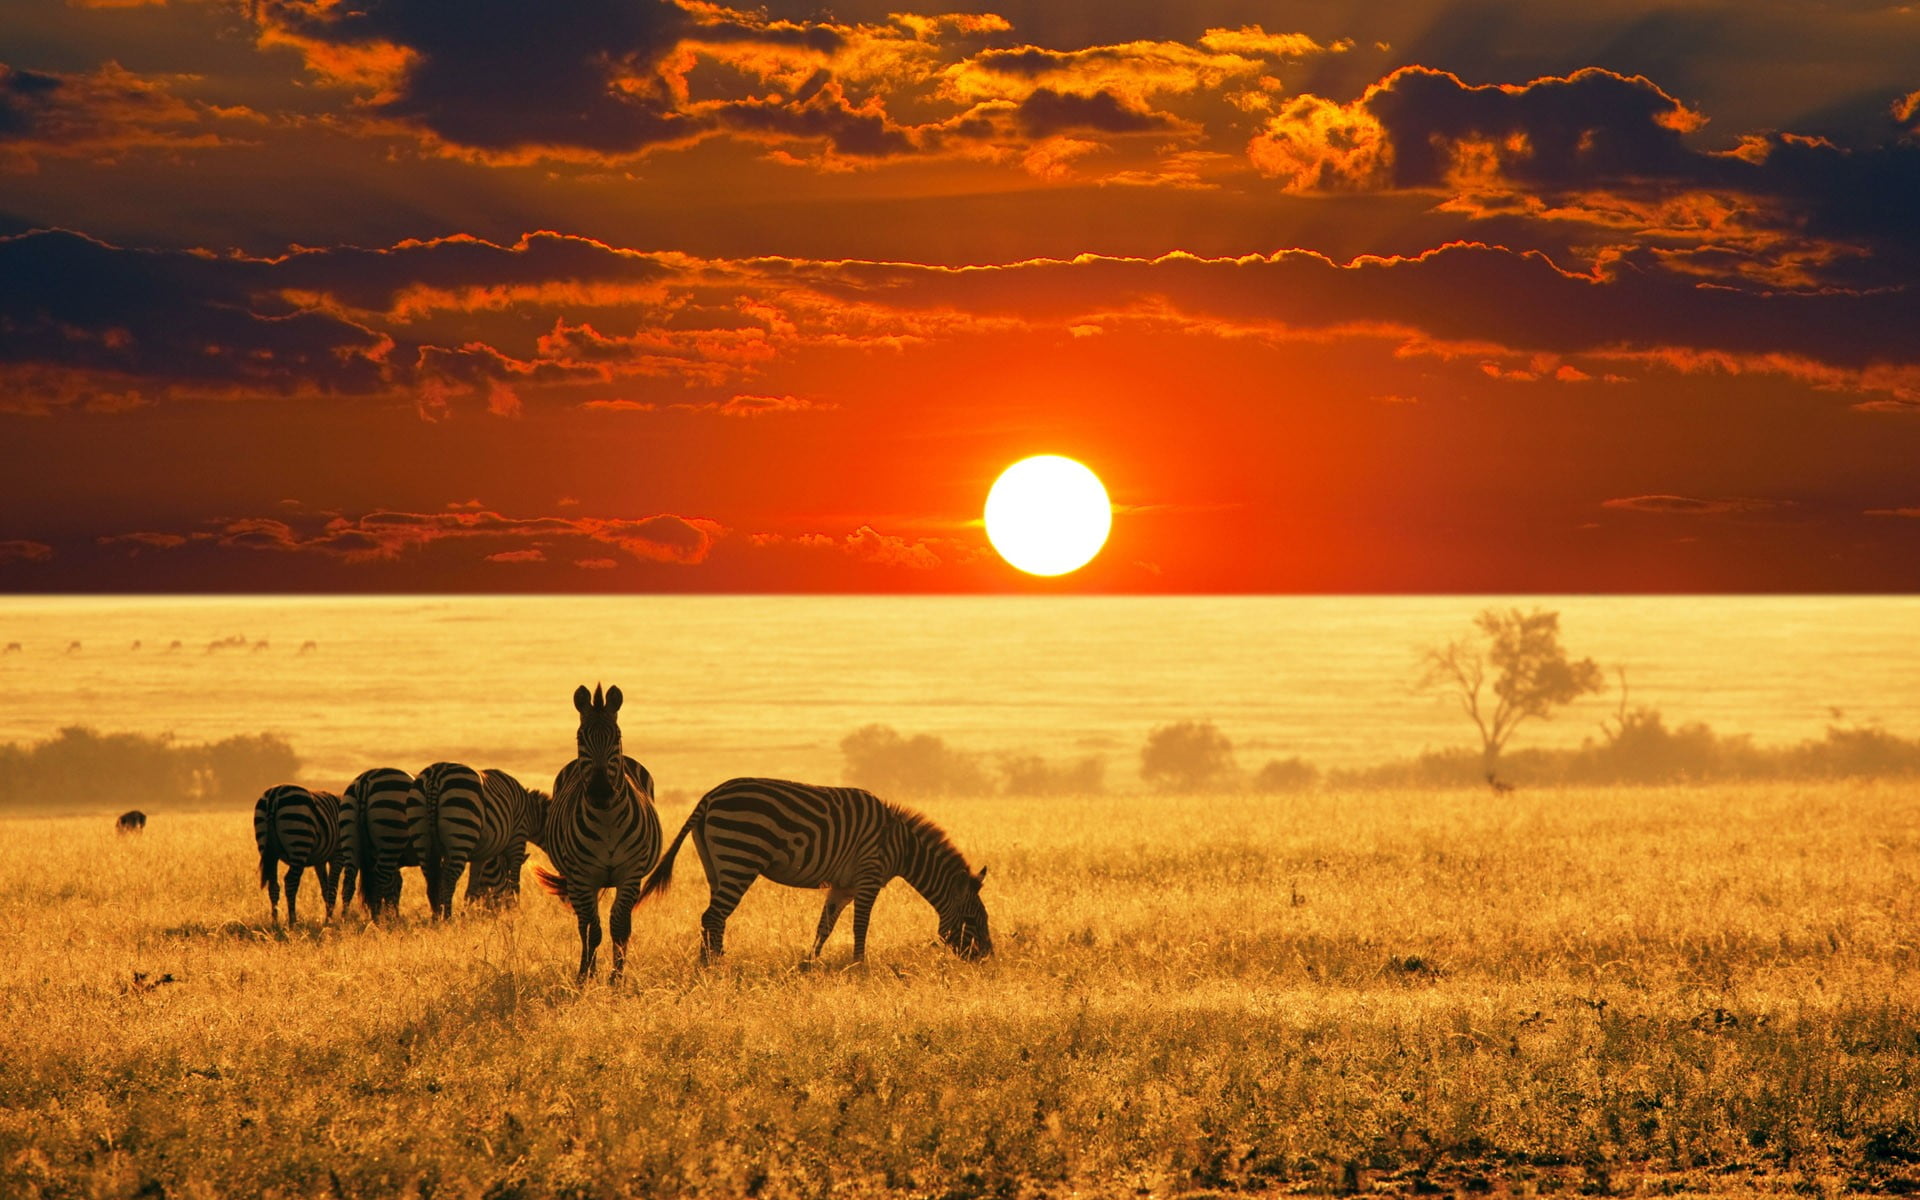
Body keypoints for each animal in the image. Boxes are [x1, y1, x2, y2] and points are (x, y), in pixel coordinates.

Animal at [253, 784, 344, 926]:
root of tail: (274, 795)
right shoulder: (337, 855)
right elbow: (333, 888)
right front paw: (329, 920)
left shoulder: (320, 861)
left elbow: (326, 888)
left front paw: (328, 918)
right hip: (299, 841)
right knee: (290, 882)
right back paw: (293, 921)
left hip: (267, 849)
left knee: (273, 885)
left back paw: (275, 923)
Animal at [341, 767, 425, 919]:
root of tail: (366, 778)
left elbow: (395, 887)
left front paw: (394, 916)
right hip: (391, 836)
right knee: (378, 881)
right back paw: (378, 920)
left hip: (350, 836)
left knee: (349, 882)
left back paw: (344, 920)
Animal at [535, 684, 661, 984]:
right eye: (581, 737)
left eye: (617, 736)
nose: (601, 791)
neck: (607, 820)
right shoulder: (582, 876)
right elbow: (594, 929)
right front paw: (587, 976)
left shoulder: (630, 874)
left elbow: (619, 927)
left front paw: (617, 978)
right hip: (577, 880)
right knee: (584, 924)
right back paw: (585, 970)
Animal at [637, 777, 992, 964]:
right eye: (973, 920)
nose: (988, 958)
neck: (902, 845)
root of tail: (710, 796)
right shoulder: (868, 876)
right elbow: (860, 926)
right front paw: (859, 967)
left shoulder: (843, 885)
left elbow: (825, 925)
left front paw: (810, 963)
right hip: (740, 856)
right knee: (714, 915)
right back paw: (716, 966)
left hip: (716, 865)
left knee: (711, 916)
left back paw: (707, 964)